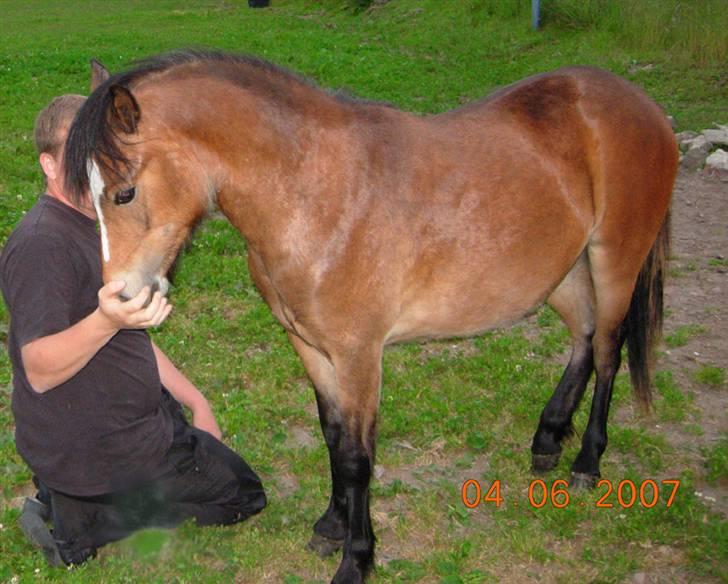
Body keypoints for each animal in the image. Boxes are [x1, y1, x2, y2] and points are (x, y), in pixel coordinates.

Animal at [65, 51, 680, 584]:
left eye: (124, 192)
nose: (118, 300)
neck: (318, 194)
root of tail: (644, 107)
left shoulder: (359, 355)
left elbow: (359, 458)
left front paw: (357, 559)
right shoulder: (311, 346)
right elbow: (333, 436)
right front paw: (332, 526)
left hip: (614, 261)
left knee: (608, 349)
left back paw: (587, 461)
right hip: (561, 270)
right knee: (583, 338)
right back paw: (548, 438)